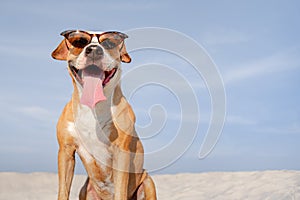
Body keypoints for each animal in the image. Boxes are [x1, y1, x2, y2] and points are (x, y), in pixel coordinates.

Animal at [51, 30, 157, 200]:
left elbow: (120, 190)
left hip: (147, 182)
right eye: (79, 41)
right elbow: (63, 191)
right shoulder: (66, 151)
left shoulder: (122, 152)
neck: (93, 108)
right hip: (85, 190)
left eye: (109, 43)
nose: (94, 49)